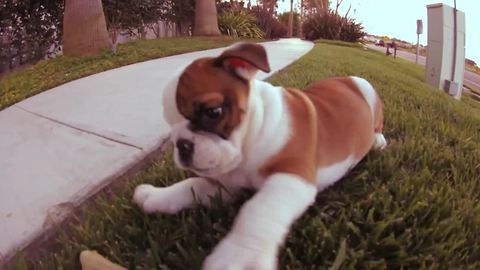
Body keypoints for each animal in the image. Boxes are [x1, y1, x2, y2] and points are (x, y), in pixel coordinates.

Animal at [133, 42, 388, 270]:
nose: (182, 145)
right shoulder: (225, 184)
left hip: (370, 96)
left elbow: (258, 210)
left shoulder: (290, 178)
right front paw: (158, 196)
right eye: (170, 124)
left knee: (377, 127)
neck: (252, 137)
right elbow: (191, 185)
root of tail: (349, 78)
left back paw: (378, 141)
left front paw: (239, 255)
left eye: (213, 112)